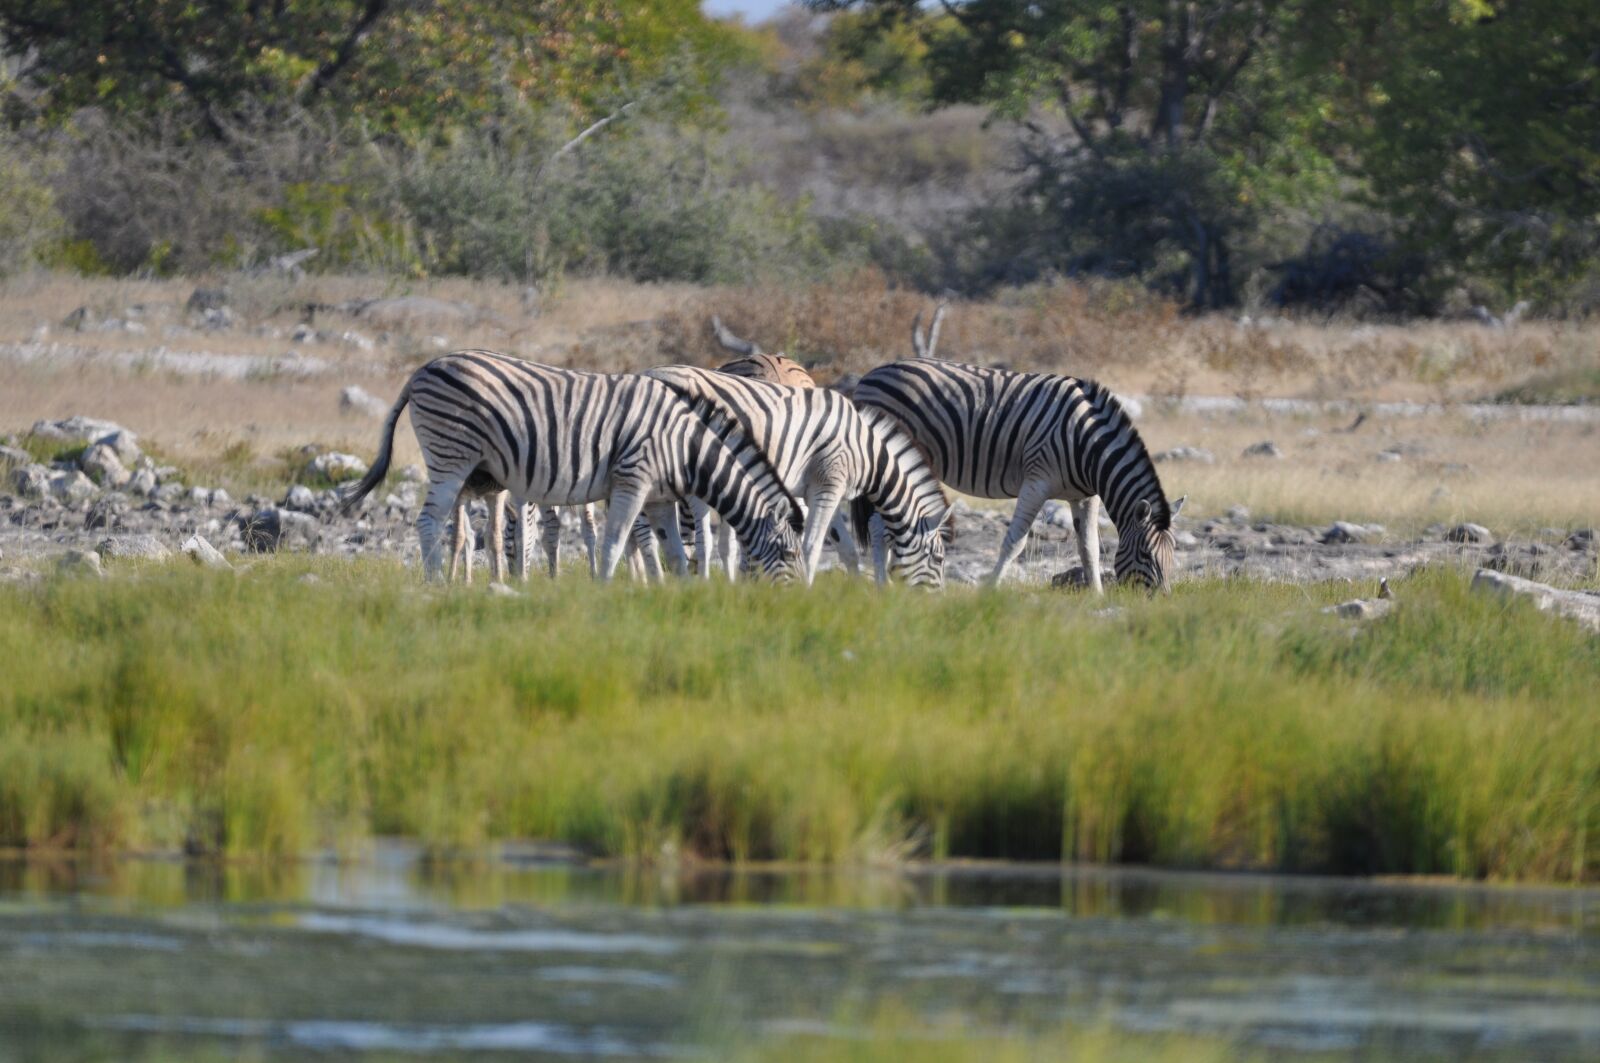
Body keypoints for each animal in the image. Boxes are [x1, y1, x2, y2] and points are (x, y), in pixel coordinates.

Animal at [340, 351, 805, 582]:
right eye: (788, 554)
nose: (794, 600)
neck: (683, 442)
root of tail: (423, 368)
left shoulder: (657, 497)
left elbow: (672, 552)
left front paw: (684, 594)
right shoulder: (632, 479)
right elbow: (614, 541)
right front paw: (605, 591)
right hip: (451, 455)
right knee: (429, 522)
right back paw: (437, 585)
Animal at [643, 365, 951, 587]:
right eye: (938, 559)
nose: (933, 602)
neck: (867, 451)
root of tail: (650, 373)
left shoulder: (824, 488)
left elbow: (847, 549)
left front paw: (856, 595)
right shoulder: (829, 485)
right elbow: (812, 546)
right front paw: (804, 591)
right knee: (698, 541)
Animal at [852, 360, 1185, 591]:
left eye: (1173, 557)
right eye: (1146, 555)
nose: (1161, 601)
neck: (1087, 445)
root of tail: (869, 375)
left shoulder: (1085, 496)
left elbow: (1090, 548)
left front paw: (1097, 596)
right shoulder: (1036, 482)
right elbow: (1015, 542)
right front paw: (988, 590)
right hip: (889, 462)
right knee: (878, 525)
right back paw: (883, 585)